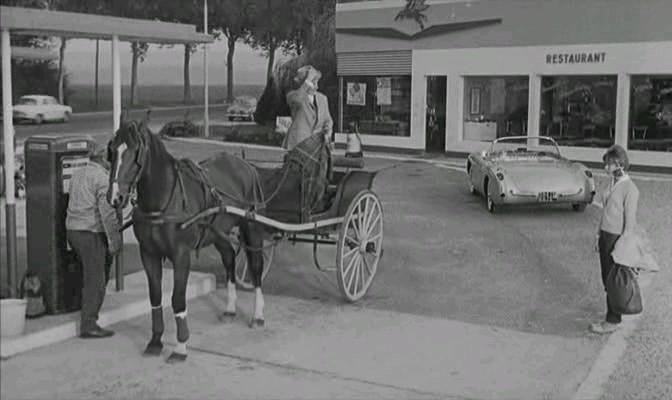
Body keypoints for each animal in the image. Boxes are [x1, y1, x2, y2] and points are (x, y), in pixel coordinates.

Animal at [106, 114, 270, 364]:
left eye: (135, 152)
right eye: (112, 150)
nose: (115, 197)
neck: (163, 199)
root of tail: (245, 164)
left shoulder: (181, 255)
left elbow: (177, 299)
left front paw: (180, 347)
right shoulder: (148, 254)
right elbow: (155, 296)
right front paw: (155, 342)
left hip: (251, 227)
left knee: (256, 267)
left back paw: (258, 315)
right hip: (218, 232)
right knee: (230, 260)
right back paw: (230, 309)